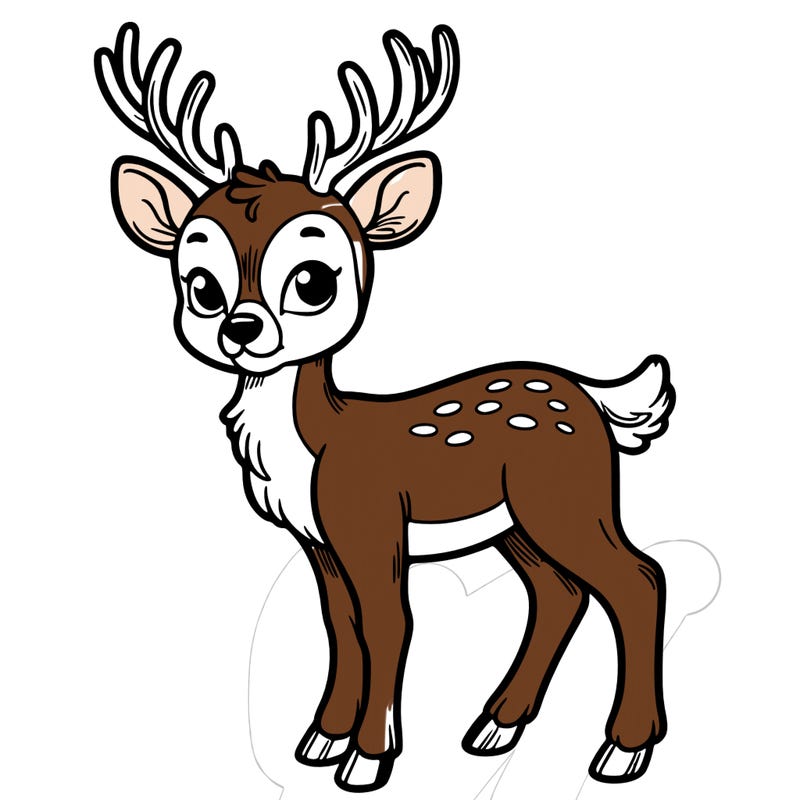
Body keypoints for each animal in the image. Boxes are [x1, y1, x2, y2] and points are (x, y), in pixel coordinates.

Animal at [95, 22, 675, 793]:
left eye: (314, 279)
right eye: (200, 283)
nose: (242, 329)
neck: (314, 446)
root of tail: (594, 396)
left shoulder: (369, 519)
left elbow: (387, 624)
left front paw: (368, 759)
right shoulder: (317, 539)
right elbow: (339, 625)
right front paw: (319, 739)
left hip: (568, 496)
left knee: (638, 580)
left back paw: (621, 750)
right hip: (515, 521)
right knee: (559, 593)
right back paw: (494, 727)